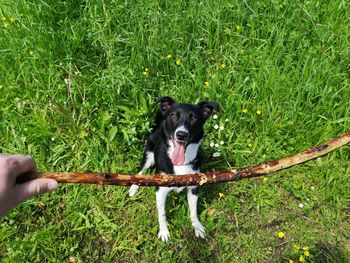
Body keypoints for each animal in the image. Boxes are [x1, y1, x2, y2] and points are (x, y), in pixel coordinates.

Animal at [129, 96, 219, 242]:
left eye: (194, 118)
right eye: (173, 116)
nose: (181, 135)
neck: (181, 163)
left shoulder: (193, 187)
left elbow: (193, 211)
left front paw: (197, 226)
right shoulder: (161, 190)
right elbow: (162, 214)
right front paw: (164, 232)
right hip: (149, 155)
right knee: (141, 170)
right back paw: (133, 187)